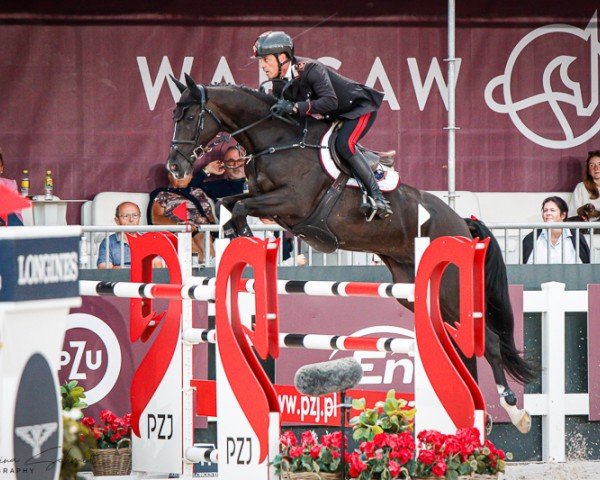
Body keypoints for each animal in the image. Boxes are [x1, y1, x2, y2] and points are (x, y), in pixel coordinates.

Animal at [168, 74, 536, 432]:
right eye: (175, 115)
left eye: (190, 116)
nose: (175, 168)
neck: (276, 139)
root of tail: (461, 222)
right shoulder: (265, 200)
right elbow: (231, 202)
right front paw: (234, 234)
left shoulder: (292, 202)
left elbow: (242, 205)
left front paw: (242, 234)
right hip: (414, 289)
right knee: (461, 344)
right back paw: (476, 415)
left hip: (450, 288)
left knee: (488, 341)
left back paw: (513, 411)